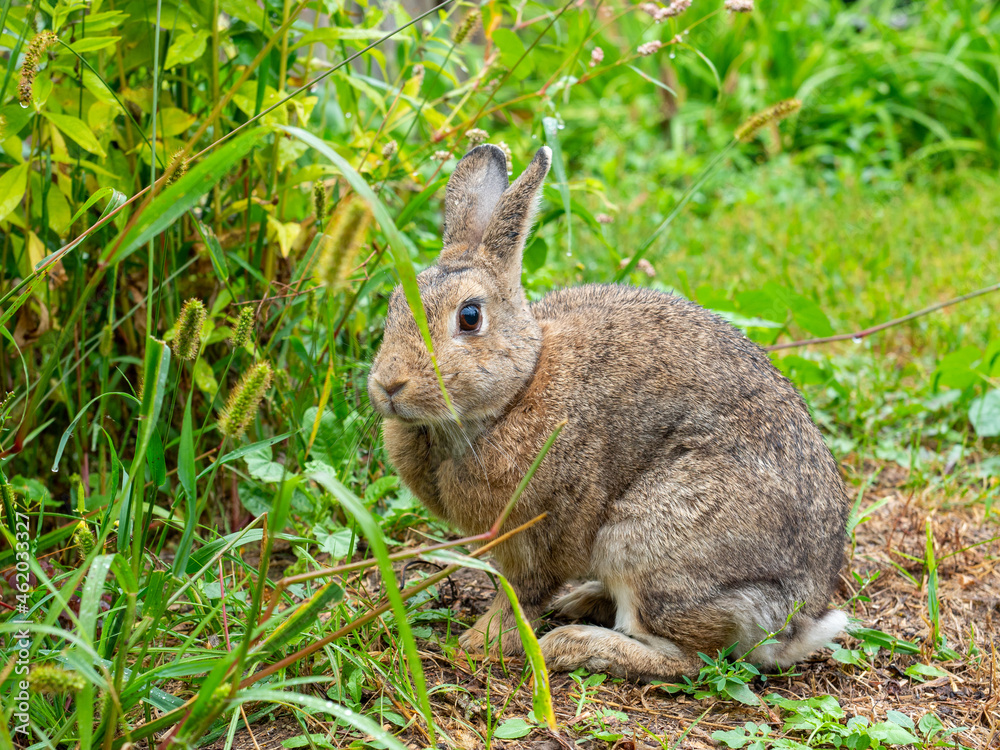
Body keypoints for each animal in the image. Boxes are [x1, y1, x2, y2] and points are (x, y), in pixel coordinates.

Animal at [367, 144, 850, 681]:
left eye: (469, 317)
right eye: (393, 306)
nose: (389, 385)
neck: (516, 391)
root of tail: (793, 622)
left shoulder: (539, 535)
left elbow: (522, 596)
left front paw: (480, 643)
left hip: (649, 543)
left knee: (688, 658)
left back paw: (573, 643)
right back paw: (583, 603)